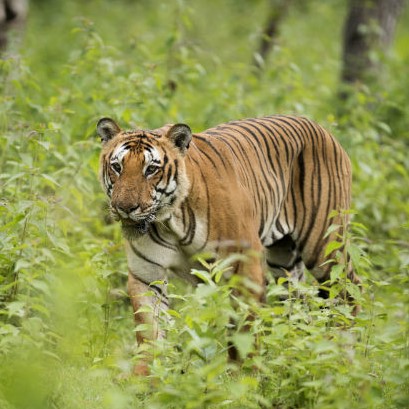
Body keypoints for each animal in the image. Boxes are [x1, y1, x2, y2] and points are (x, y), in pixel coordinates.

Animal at [97, 114, 358, 372]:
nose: (125, 208)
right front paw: (145, 378)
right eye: (117, 167)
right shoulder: (147, 274)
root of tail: (319, 127)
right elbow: (149, 333)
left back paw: (345, 354)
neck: (170, 220)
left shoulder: (246, 267)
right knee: (298, 306)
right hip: (284, 262)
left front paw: (242, 377)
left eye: (151, 169)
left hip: (325, 246)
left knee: (350, 291)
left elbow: (242, 332)